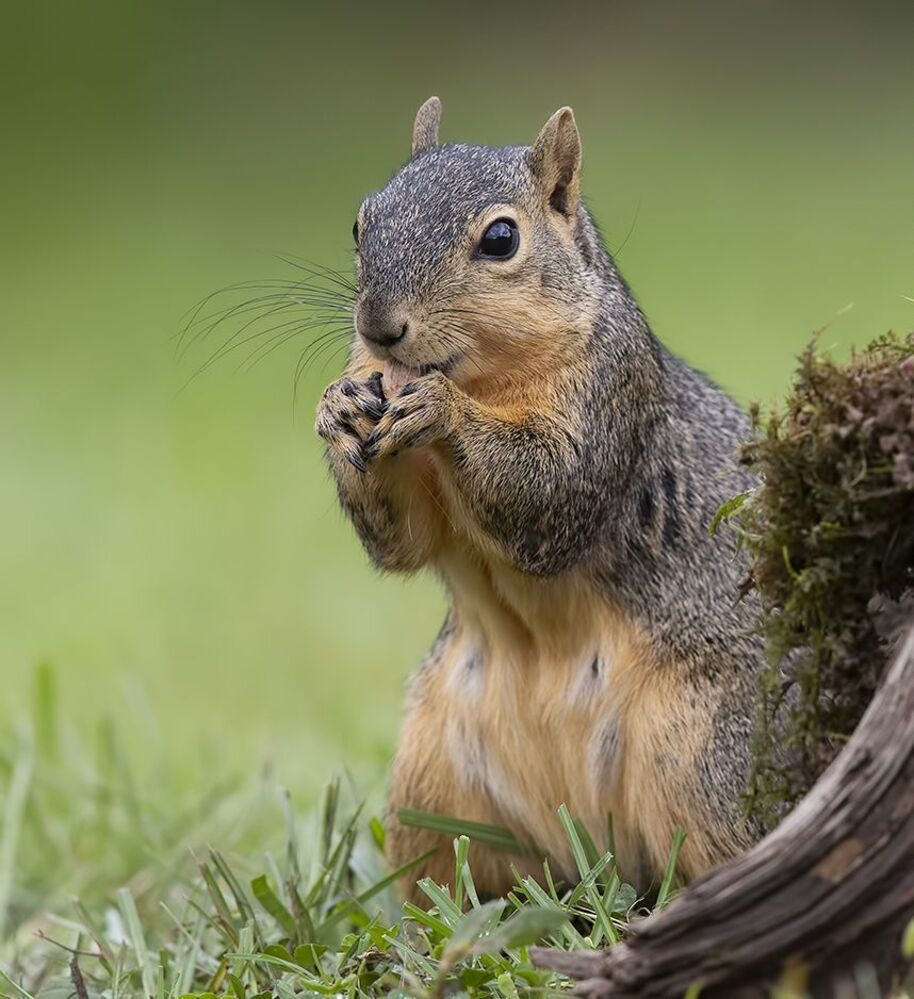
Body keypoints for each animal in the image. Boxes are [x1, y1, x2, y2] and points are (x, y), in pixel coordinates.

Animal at [314, 97, 766, 899]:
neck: (483, 375)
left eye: (501, 239)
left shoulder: (609, 401)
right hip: (433, 785)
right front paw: (336, 408)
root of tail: (600, 855)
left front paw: (442, 410)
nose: (379, 327)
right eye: (362, 222)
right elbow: (403, 543)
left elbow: (550, 492)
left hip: (711, 763)